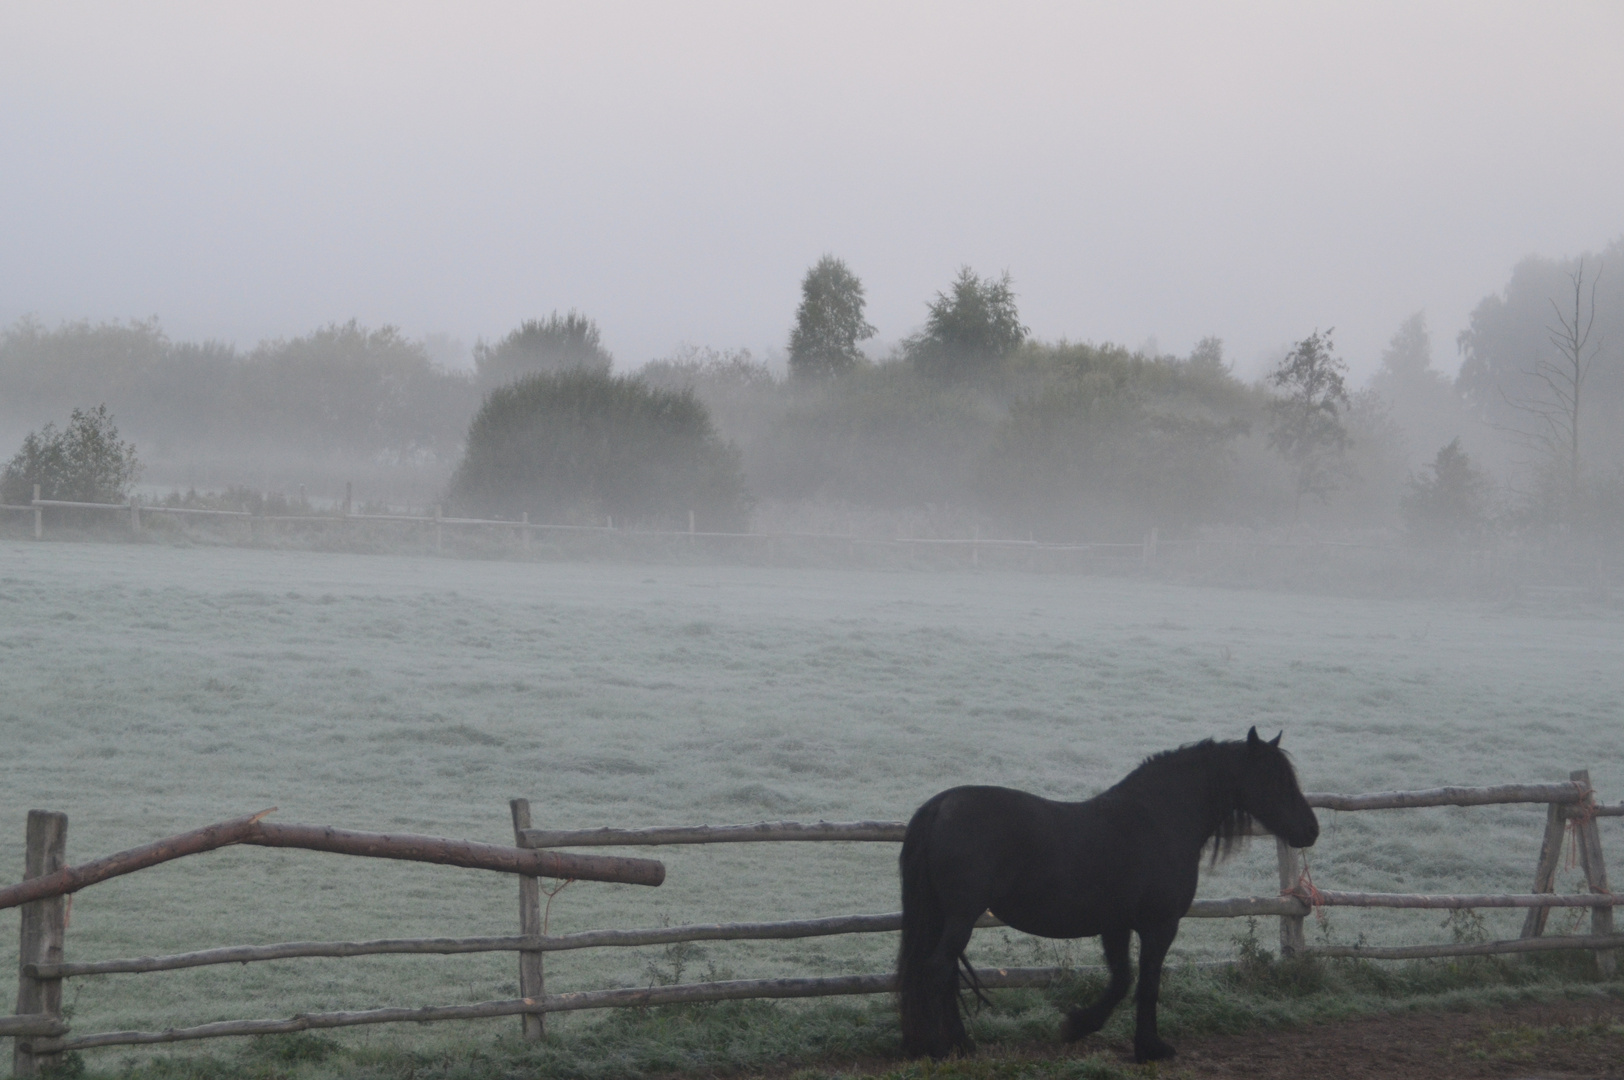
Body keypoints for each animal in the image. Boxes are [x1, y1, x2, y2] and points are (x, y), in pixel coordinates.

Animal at [902, 724, 1318, 1058]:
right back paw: (943, 1048)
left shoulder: (1116, 926)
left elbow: (1122, 980)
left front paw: (1077, 1026)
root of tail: (940, 806)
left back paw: (955, 1044)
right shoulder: (1160, 925)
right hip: (960, 917)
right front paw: (1150, 1048)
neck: (1158, 819)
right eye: (1275, 778)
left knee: (941, 974)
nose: (1311, 829)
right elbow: (1147, 983)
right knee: (937, 971)